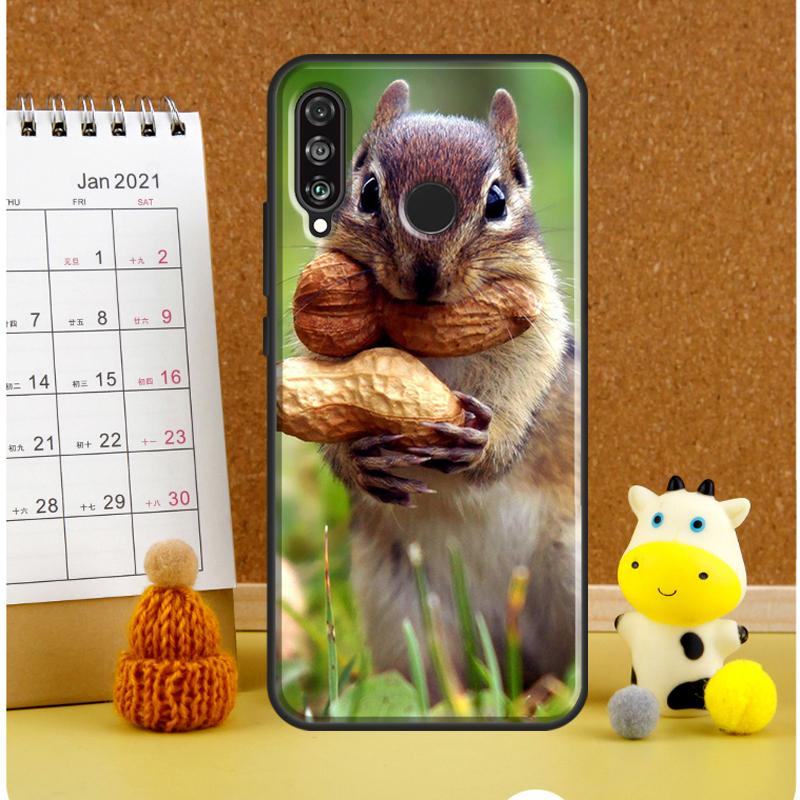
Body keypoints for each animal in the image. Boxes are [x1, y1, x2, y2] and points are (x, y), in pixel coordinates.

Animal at [317, 80, 577, 695]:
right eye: (367, 192)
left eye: (498, 201)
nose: (425, 274)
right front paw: (357, 459)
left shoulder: (539, 329)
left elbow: (522, 390)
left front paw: (484, 445)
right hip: (401, 610)